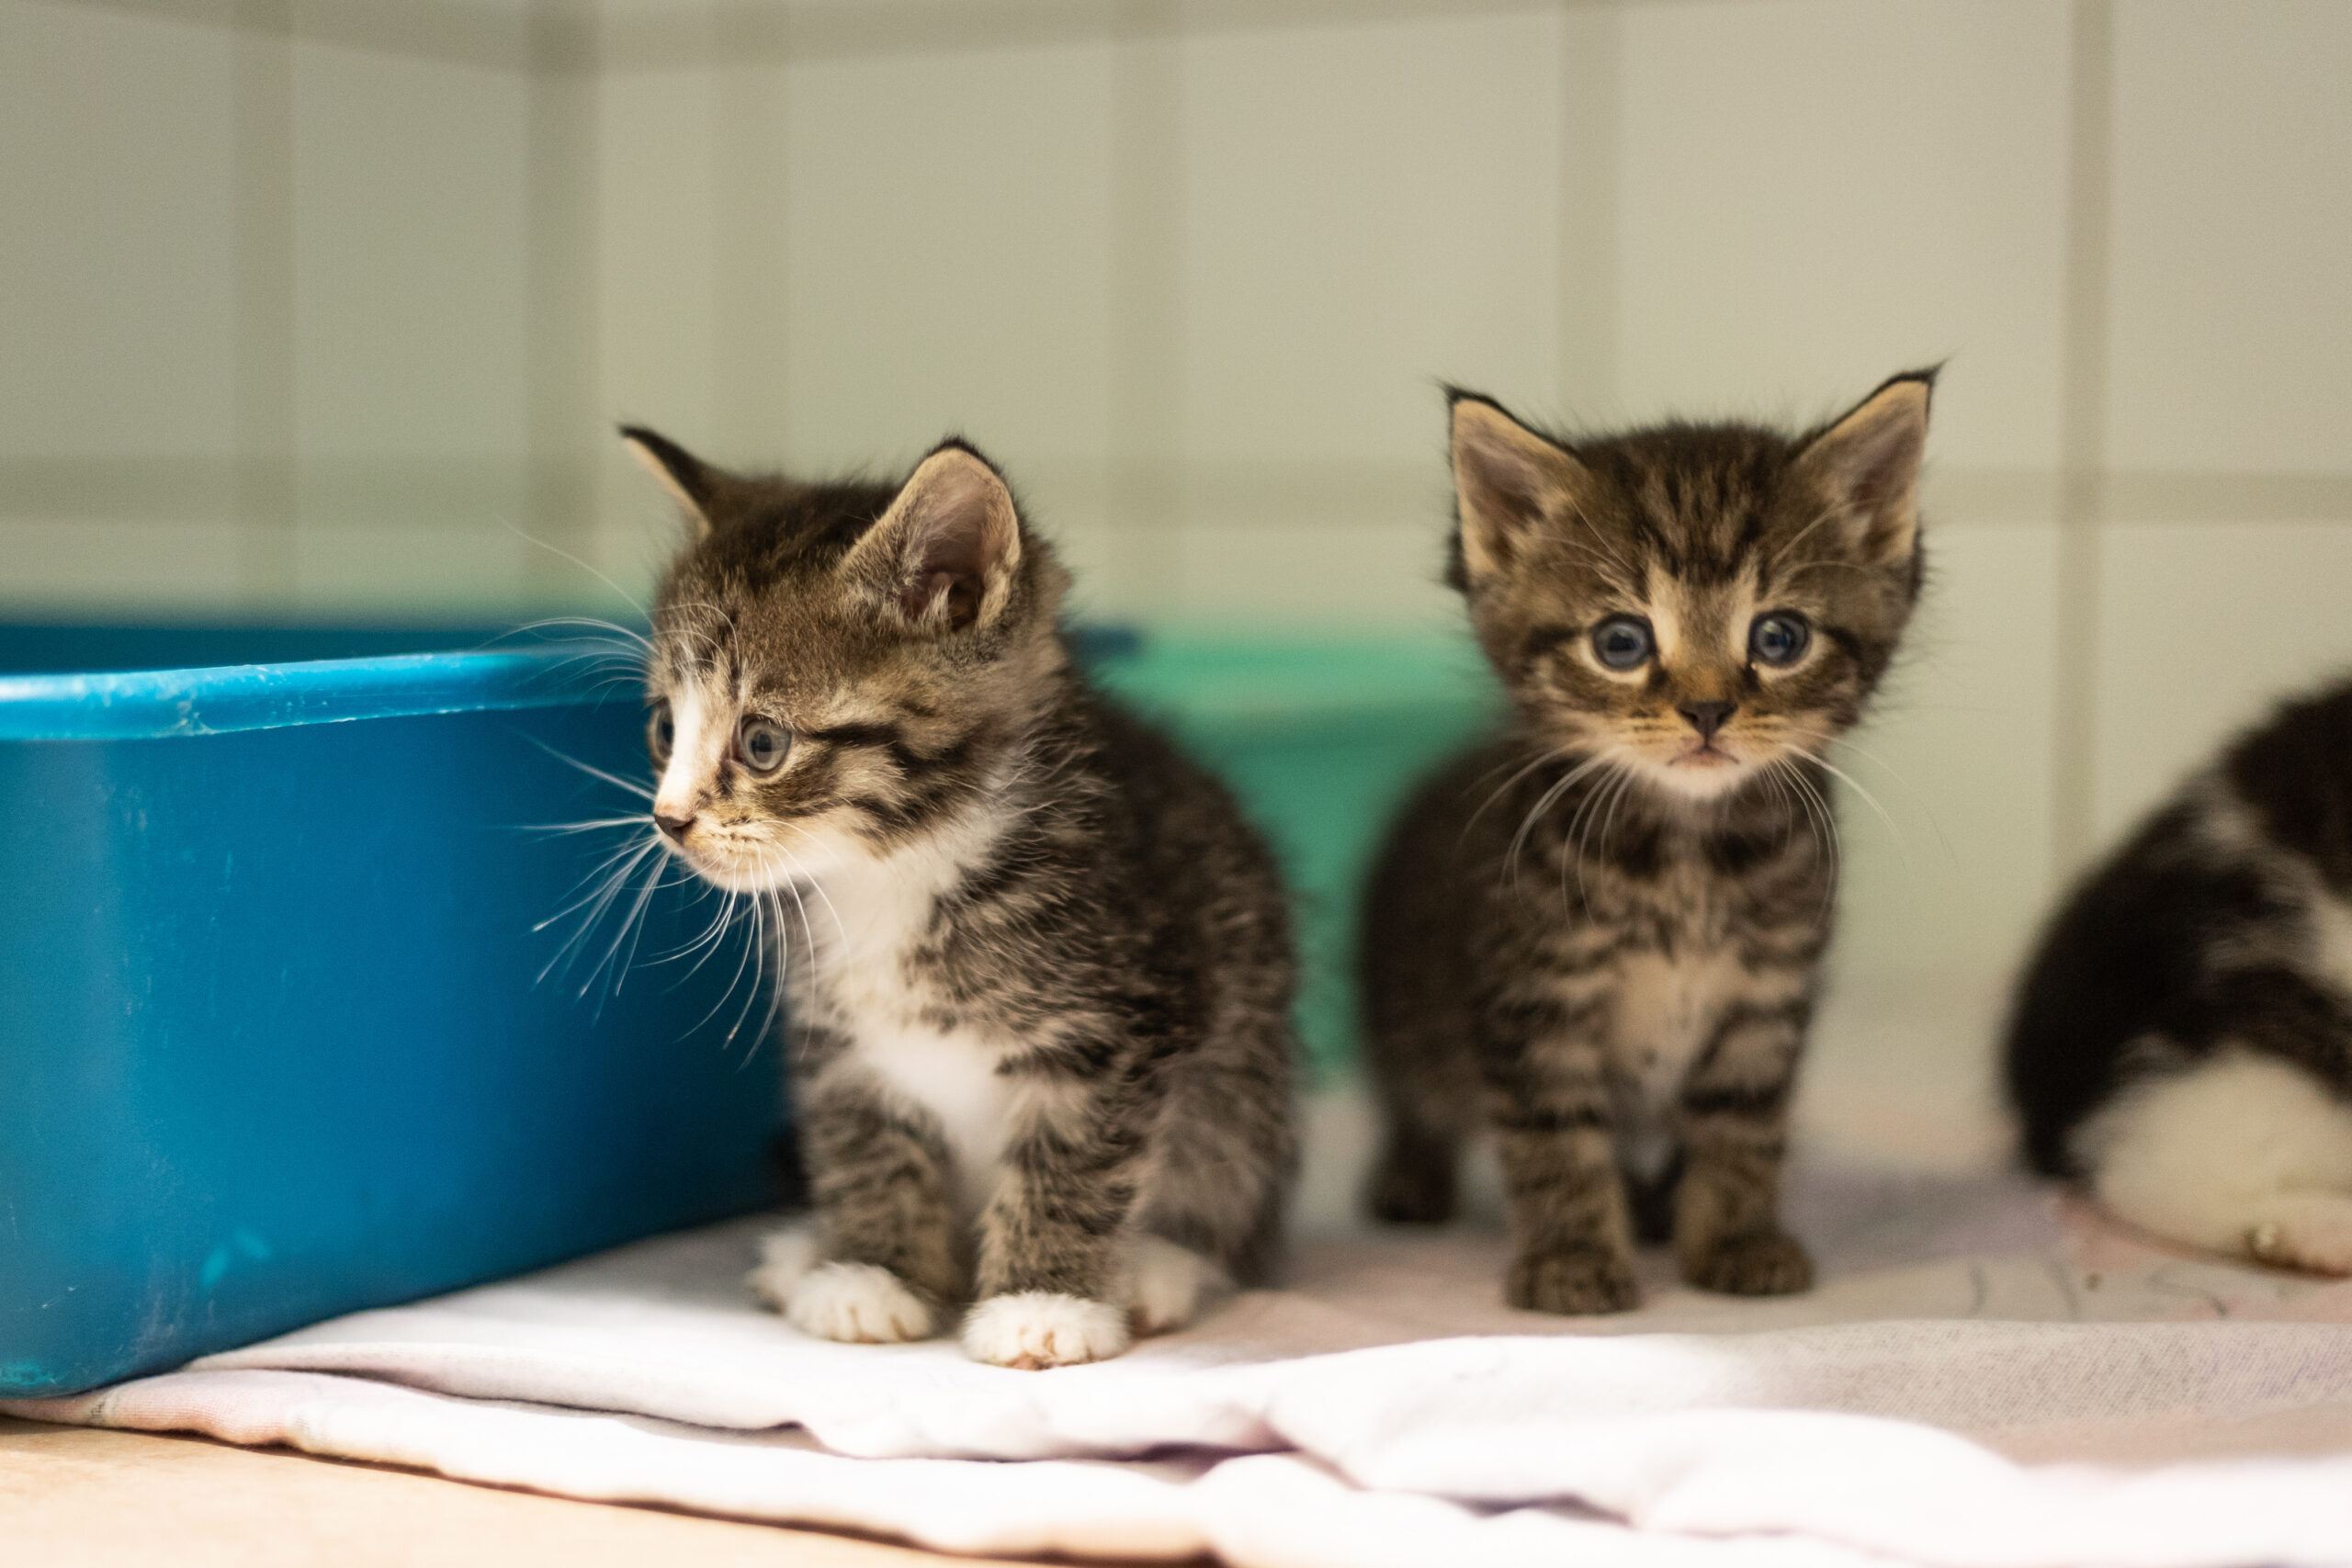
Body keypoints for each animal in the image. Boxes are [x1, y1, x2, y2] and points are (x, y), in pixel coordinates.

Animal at [616, 425, 1298, 1363]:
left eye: (761, 742)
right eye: (662, 728)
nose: (669, 819)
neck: (893, 869)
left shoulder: (1120, 1027)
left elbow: (1075, 1162)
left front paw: (1045, 1302)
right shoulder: (840, 1046)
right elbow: (868, 1150)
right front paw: (871, 1274)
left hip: (1249, 1070)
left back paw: (1158, 1266)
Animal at [1363, 376, 1928, 1316]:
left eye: (1779, 637)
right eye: (1620, 641)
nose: (1706, 709)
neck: (1686, 857)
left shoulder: (1765, 1002)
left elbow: (1743, 1132)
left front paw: (1734, 1239)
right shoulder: (1534, 1003)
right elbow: (1555, 1142)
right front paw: (1573, 1257)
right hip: (1403, 1007)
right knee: (1414, 1098)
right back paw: (1411, 1180)